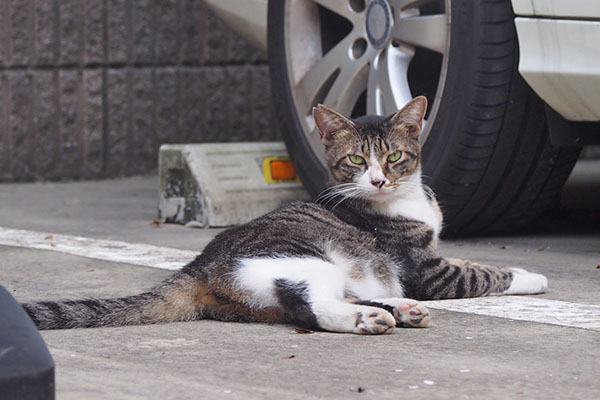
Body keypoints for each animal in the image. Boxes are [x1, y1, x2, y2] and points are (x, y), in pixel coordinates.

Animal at [22, 97, 548, 334]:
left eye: (395, 157)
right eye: (356, 161)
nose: (378, 180)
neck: (407, 198)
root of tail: (197, 264)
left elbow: (471, 263)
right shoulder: (427, 270)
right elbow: (481, 272)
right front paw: (532, 275)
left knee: (314, 301)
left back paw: (398, 309)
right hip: (303, 258)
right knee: (312, 306)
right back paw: (368, 319)